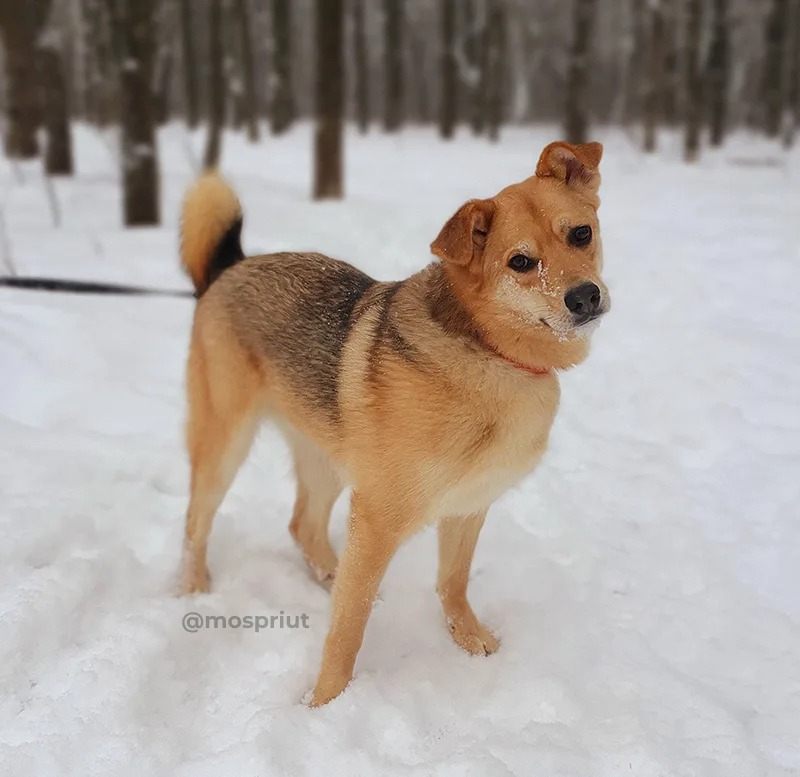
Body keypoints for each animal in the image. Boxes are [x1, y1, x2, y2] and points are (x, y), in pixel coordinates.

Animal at [178, 138, 608, 704]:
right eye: (521, 262)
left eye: (580, 234)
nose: (584, 297)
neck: (490, 352)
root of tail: (232, 266)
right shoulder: (377, 518)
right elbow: (348, 628)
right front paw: (323, 705)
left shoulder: (468, 505)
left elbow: (453, 582)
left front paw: (467, 636)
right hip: (225, 443)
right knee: (196, 522)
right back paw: (193, 590)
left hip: (328, 454)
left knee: (303, 524)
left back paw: (328, 574)